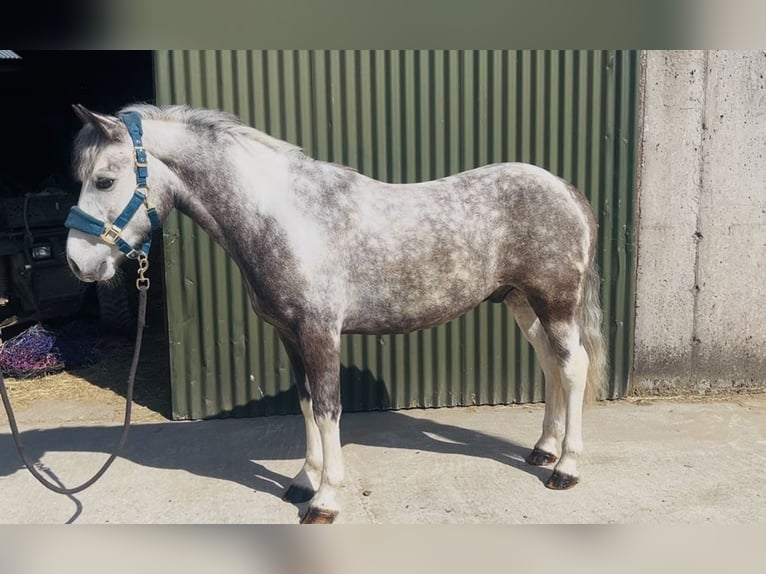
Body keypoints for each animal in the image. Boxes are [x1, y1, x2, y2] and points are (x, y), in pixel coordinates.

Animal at [65, 103, 607, 524]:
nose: (77, 263)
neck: (284, 218)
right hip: (522, 303)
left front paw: (324, 500)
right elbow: (306, 405)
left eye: (105, 180)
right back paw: (543, 448)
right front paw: (304, 481)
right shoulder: (289, 335)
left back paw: (565, 468)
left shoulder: (319, 334)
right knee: (551, 365)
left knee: (573, 367)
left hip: (555, 304)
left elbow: (328, 409)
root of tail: (566, 190)